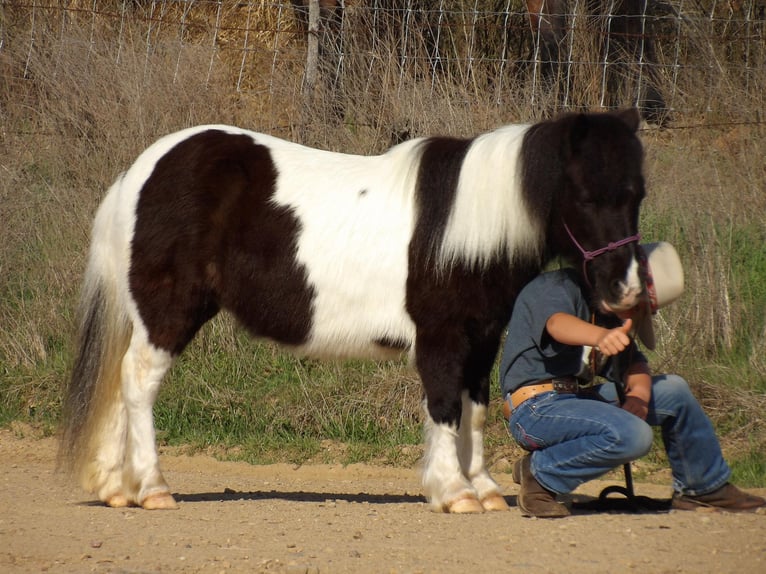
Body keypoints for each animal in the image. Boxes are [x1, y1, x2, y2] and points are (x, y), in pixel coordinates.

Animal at [61, 110, 648, 516]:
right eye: (586, 195)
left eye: (636, 194)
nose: (626, 290)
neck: (462, 229)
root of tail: (140, 172)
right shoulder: (440, 339)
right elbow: (443, 408)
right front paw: (453, 492)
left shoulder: (481, 339)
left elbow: (475, 412)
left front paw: (482, 488)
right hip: (168, 313)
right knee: (138, 383)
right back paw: (153, 488)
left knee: (120, 383)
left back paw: (116, 489)